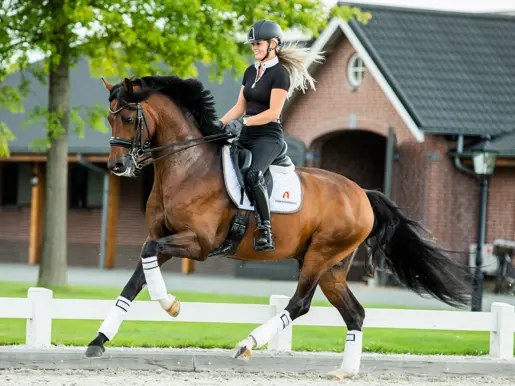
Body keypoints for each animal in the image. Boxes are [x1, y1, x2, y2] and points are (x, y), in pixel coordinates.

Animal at [84, 75, 472, 380]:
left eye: (129, 117)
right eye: (109, 118)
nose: (117, 166)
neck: (186, 166)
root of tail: (361, 193)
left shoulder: (198, 244)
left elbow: (149, 260)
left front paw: (171, 305)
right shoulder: (162, 237)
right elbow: (135, 280)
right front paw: (98, 341)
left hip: (320, 255)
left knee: (299, 303)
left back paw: (247, 344)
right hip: (333, 267)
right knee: (354, 312)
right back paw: (345, 370)